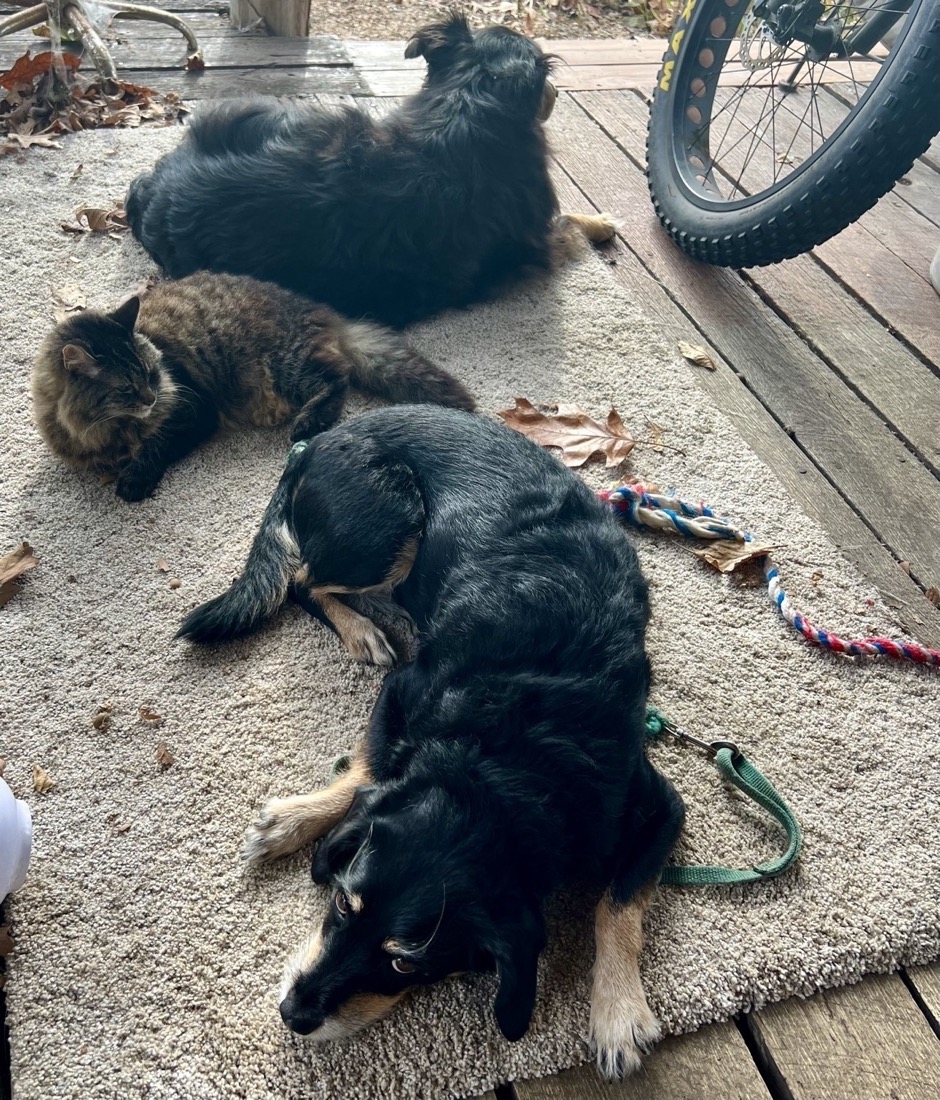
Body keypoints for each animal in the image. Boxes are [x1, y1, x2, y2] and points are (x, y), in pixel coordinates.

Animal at [32, 272, 474, 501]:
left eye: (151, 373)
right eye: (126, 388)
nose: (152, 397)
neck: (108, 429)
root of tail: (321, 309)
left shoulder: (195, 410)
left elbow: (156, 445)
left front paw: (134, 480)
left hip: (287, 366)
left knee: (338, 377)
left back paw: (308, 423)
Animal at [180, 404, 681, 1073]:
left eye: (404, 963)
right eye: (343, 904)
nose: (292, 1013)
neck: (503, 760)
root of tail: (320, 440)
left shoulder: (658, 808)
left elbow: (618, 904)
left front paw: (617, 1011)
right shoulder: (403, 689)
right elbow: (370, 771)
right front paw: (295, 821)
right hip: (388, 527)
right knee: (304, 580)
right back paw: (361, 629)